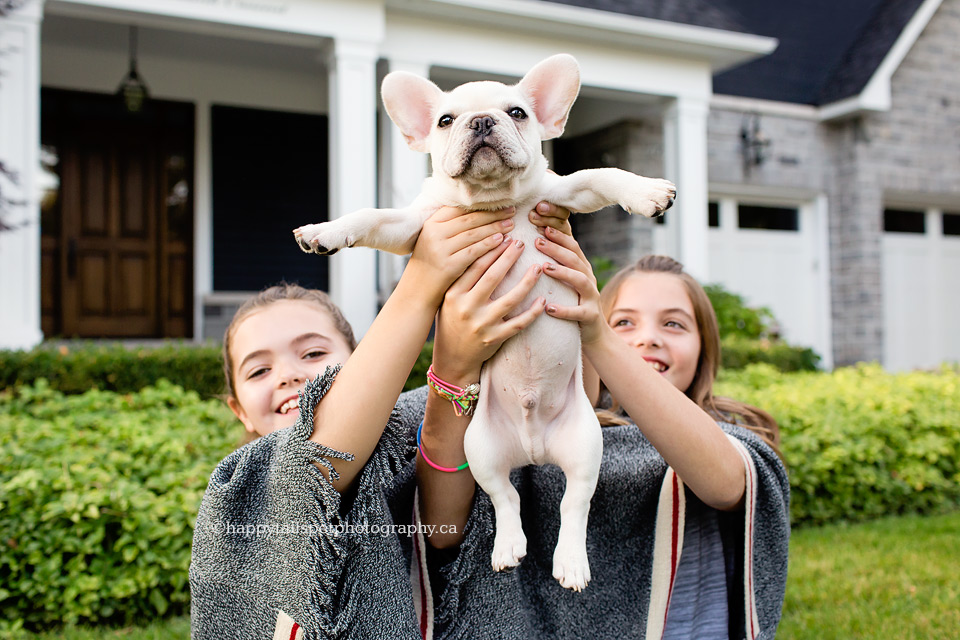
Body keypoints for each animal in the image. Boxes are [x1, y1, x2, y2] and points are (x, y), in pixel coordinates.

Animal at [292, 53, 676, 592]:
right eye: (444, 120)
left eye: (517, 112)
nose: (480, 122)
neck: (493, 199)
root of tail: (534, 449)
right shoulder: (415, 225)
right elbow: (371, 216)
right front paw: (326, 231)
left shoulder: (563, 192)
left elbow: (602, 172)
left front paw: (647, 191)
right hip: (481, 449)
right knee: (505, 497)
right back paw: (509, 547)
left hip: (586, 446)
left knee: (575, 503)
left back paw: (570, 562)